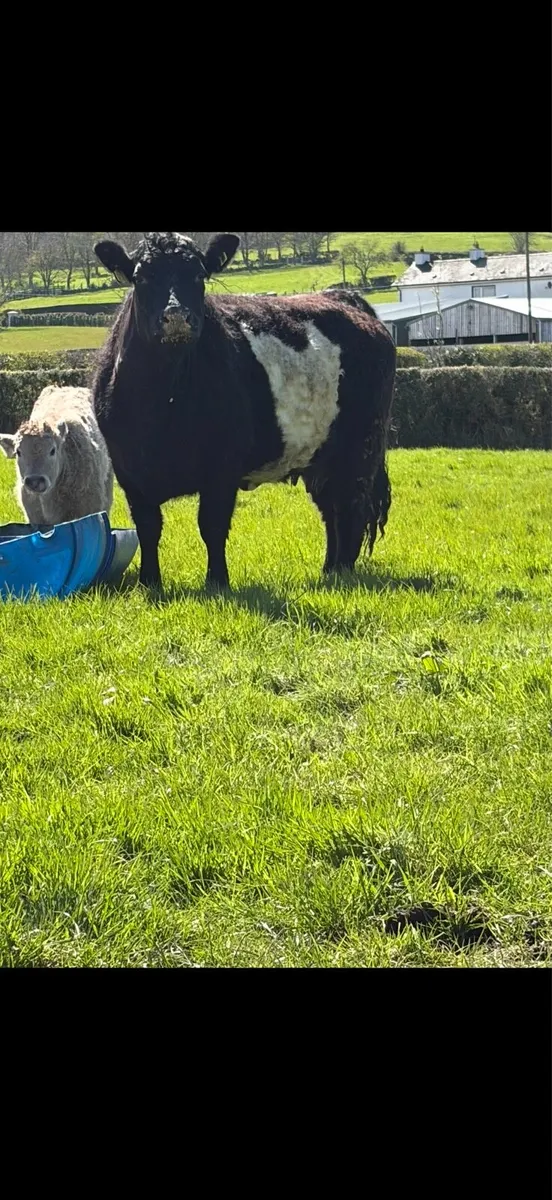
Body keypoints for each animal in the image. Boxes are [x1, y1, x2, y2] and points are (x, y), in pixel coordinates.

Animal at [92, 232, 395, 590]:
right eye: (141, 277)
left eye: (199, 275)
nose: (177, 317)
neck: (162, 404)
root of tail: (343, 299)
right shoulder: (130, 473)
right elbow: (148, 528)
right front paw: (150, 583)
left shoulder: (222, 466)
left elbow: (212, 525)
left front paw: (217, 582)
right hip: (320, 457)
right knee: (330, 508)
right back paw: (329, 570)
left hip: (361, 448)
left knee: (350, 507)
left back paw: (343, 573)